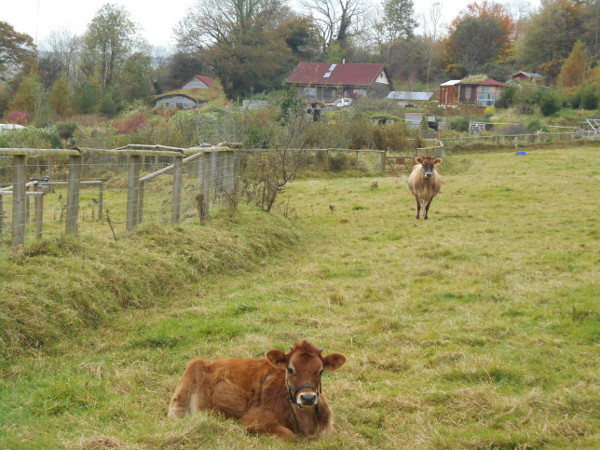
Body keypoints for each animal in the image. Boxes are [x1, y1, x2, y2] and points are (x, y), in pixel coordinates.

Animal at [168, 342, 346, 440]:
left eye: (321, 371)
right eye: (290, 369)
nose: (308, 398)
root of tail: (206, 361)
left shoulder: (329, 426)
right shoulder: (255, 418)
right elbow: (289, 435)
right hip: (180, 402)